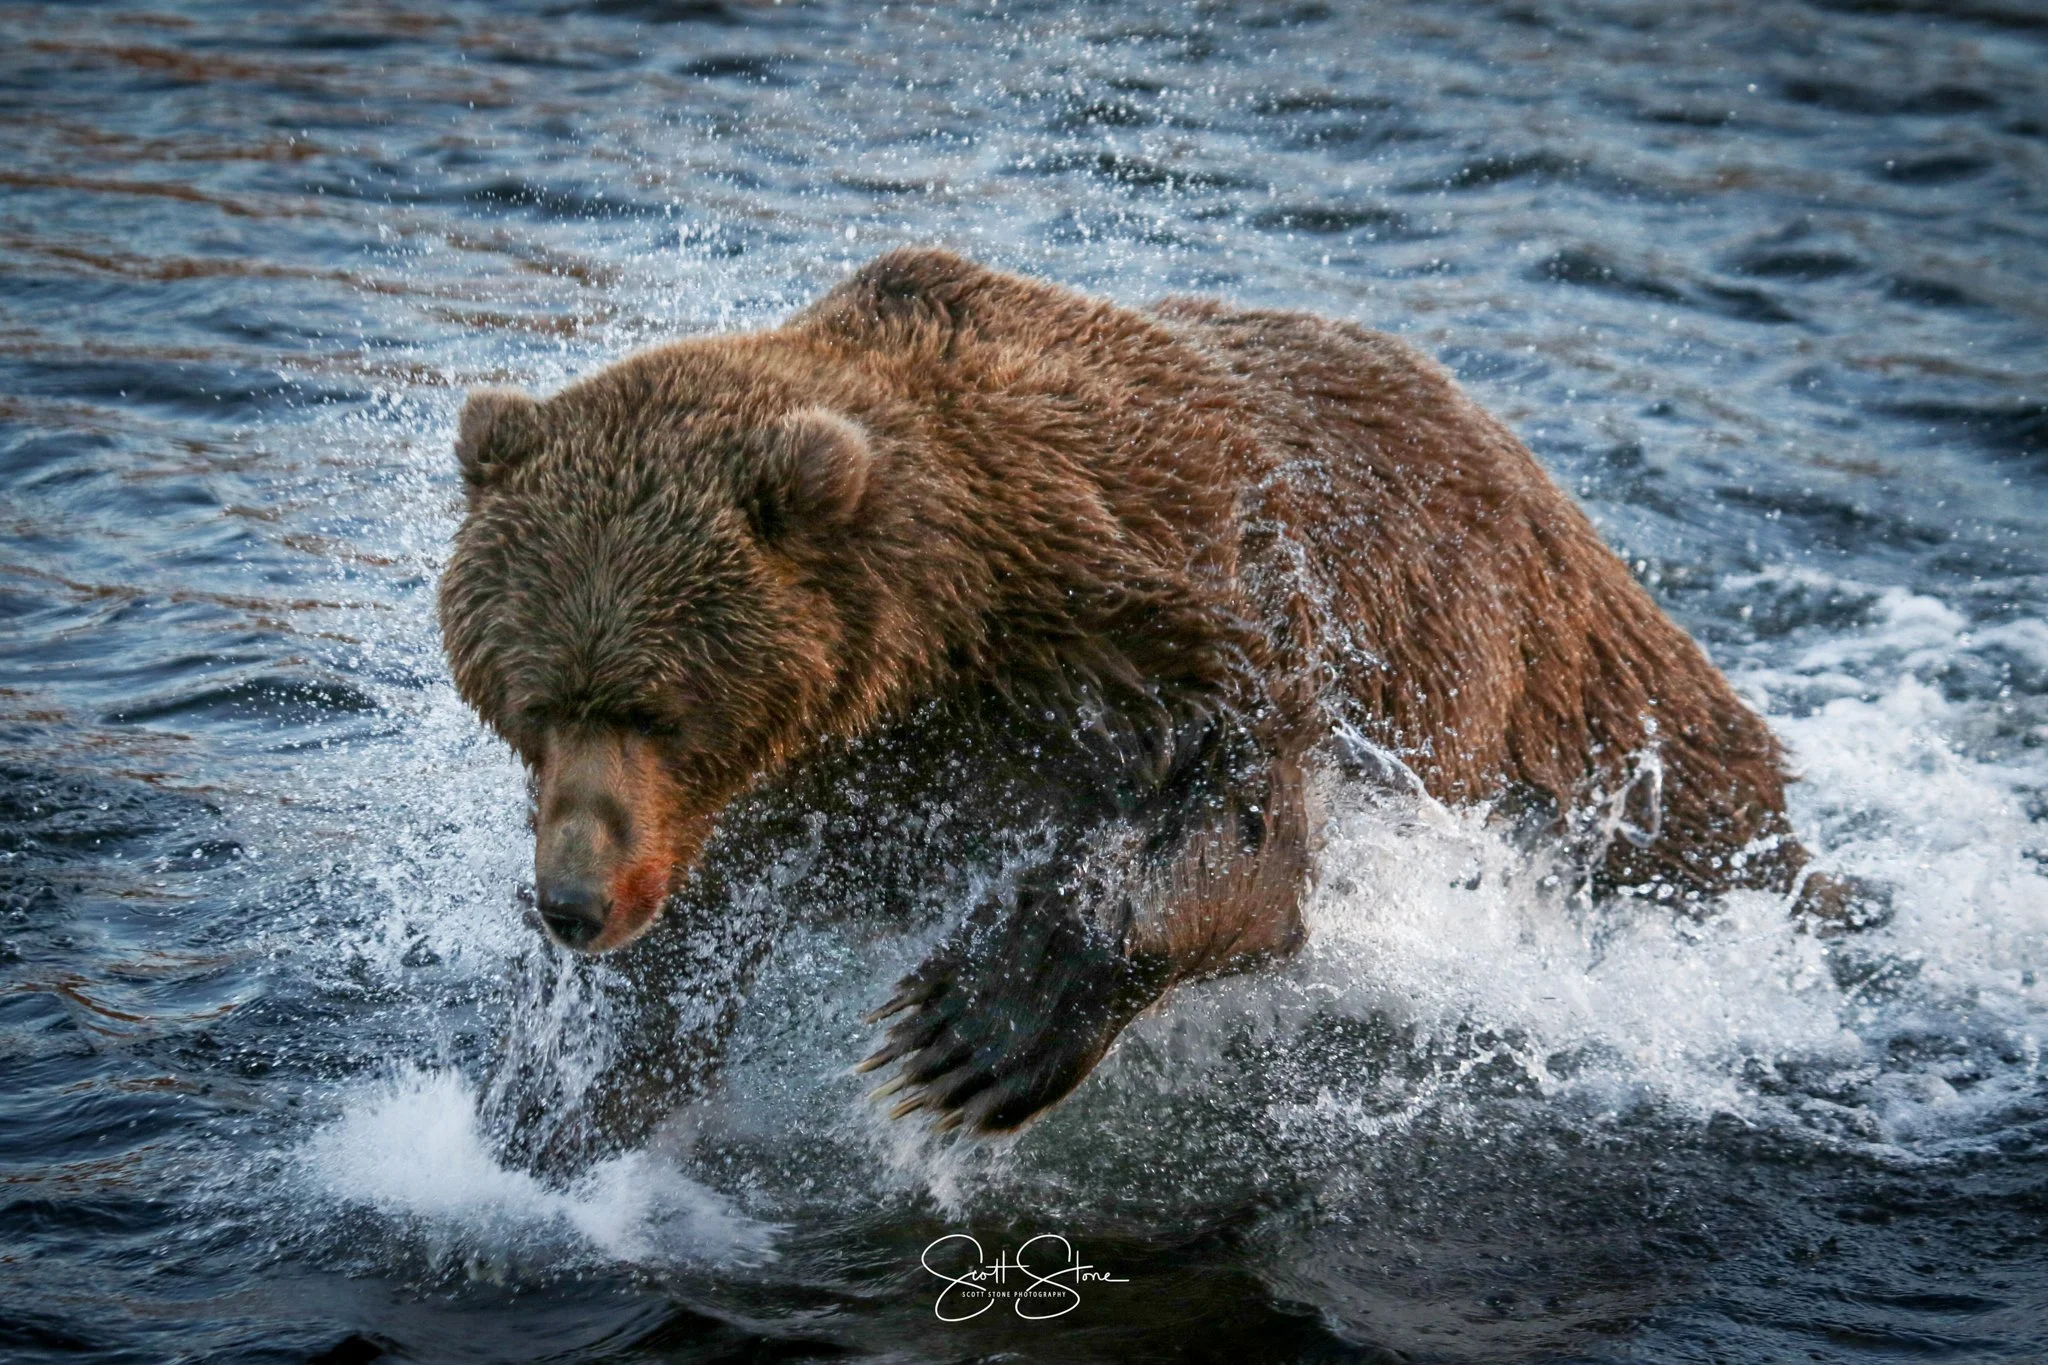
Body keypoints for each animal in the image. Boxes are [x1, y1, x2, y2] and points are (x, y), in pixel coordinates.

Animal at [439, 247, 1845, 1146]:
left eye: (655, 707)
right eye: (531, 705)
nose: (569, 903)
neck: (943, 622)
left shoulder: (1183, 618)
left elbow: (1240, 843)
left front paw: (964, 1037)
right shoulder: (813, 789)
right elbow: (679, 966)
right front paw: (548, 1114)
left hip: (1565, 706)